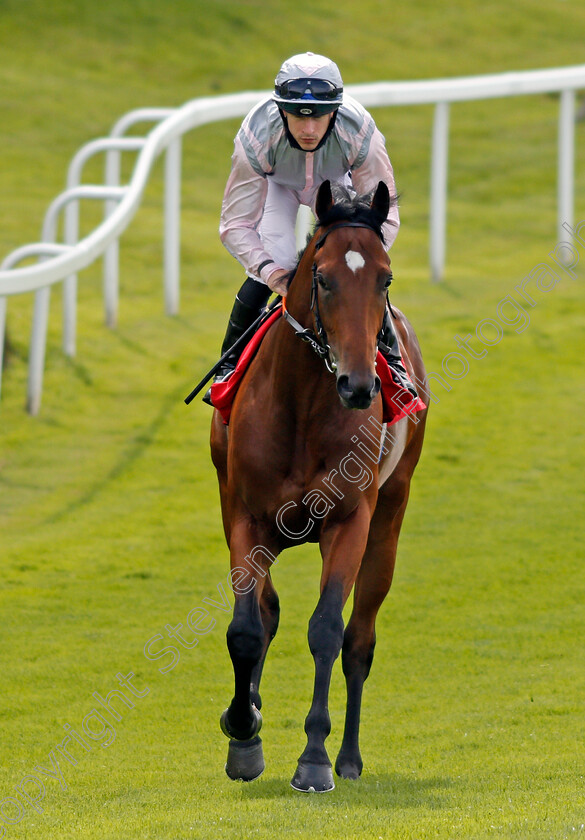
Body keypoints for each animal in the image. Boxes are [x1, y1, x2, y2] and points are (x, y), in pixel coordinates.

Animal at [211, 180, 428, 792]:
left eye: (385, 278)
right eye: (324, 277)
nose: (359, 385)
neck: (304, 406)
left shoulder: (349, 520)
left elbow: (328, 629)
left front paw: (313, 758)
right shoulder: (246, 516)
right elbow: (247, 628)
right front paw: (243, 730)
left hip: (389, 520)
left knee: (360, 640)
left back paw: (348, 757)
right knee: (268, 613)